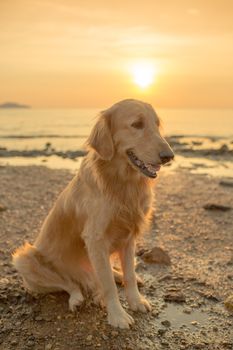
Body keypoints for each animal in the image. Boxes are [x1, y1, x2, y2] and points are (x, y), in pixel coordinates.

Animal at [12, 98, 173, 328]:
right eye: (137, 124)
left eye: (157, 124)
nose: (169, 156)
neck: (123, 183)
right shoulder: (95, 239)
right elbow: (107, 285)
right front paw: (117, 315)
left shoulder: (128, 236)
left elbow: (130, 275)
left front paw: (136, 300)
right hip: (25, 260)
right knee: (70, 283)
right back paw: (77, 298)